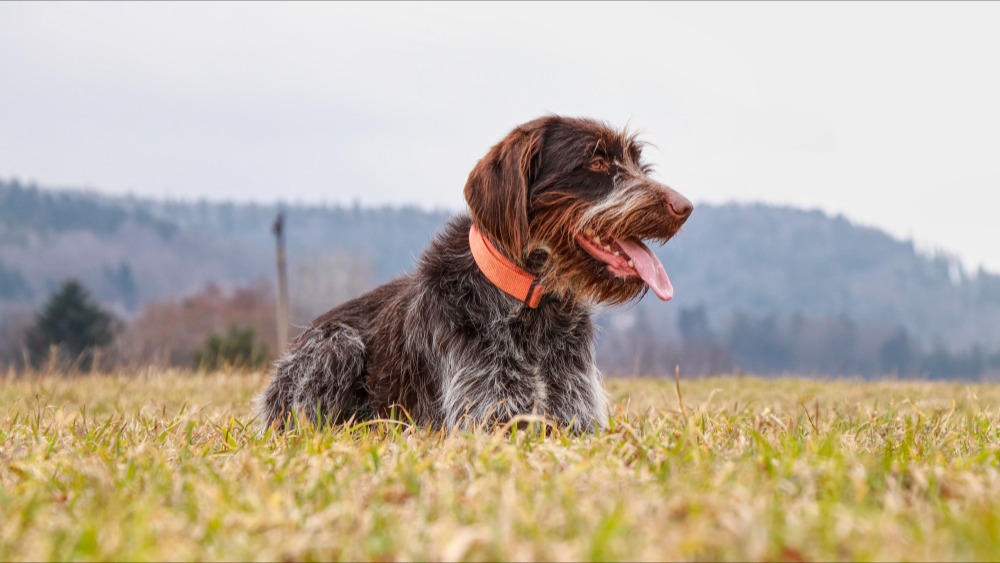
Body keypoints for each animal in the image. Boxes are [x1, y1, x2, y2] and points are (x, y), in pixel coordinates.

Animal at [258, 114, 692, 432]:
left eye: (639, 164)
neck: (532, 305)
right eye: (597, 162)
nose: (685, 207)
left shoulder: (577, 417)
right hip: (336, 345)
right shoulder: (488, 418)